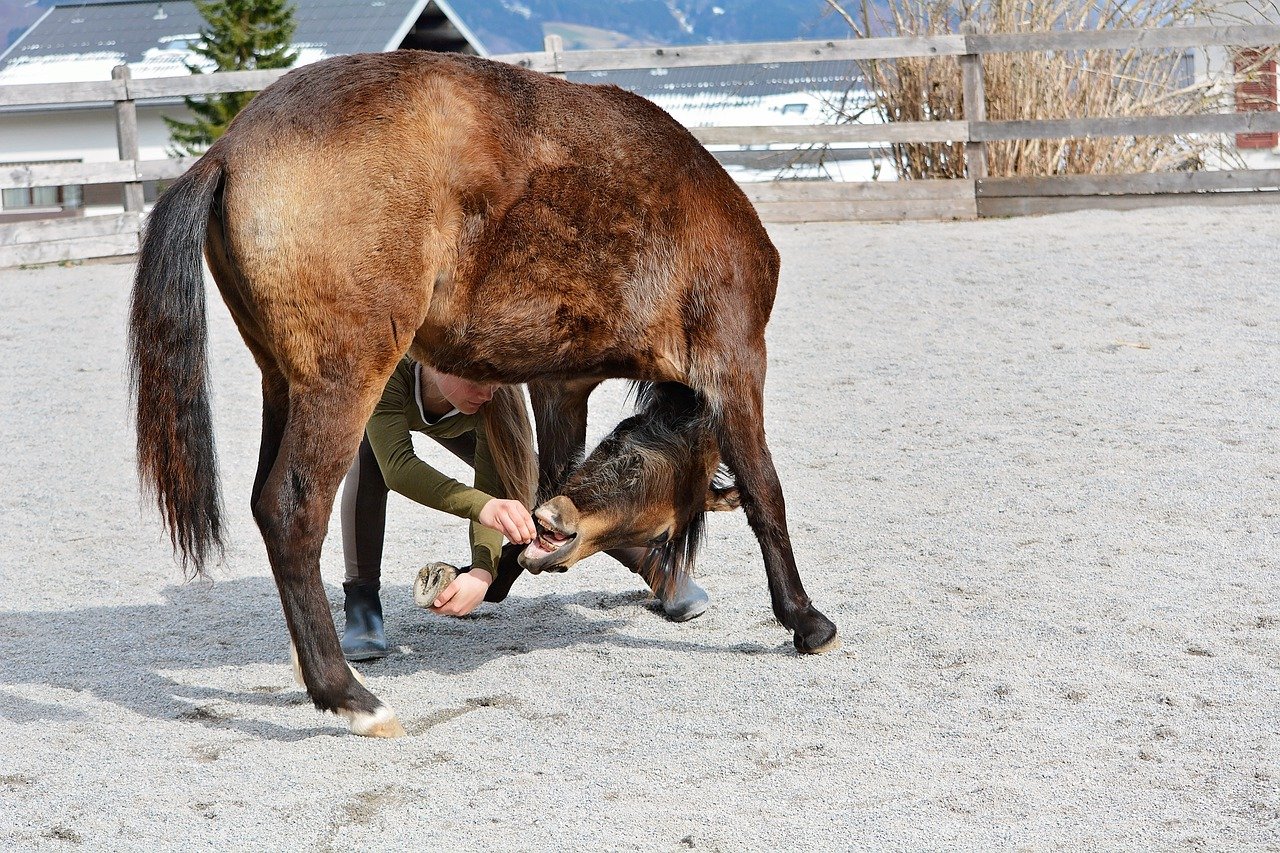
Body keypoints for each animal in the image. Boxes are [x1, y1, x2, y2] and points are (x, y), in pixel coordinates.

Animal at [128, 49, 840, 738]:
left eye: (630, 458)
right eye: (659, 511)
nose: (562, 525)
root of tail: (230, 149)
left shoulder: (562, 384)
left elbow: (555, 473)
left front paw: (525, 563)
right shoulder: (735, 364)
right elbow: (764, 493)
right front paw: (805, 620)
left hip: (283, 383)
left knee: (265, 500)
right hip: (344, 383)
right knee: (291, 511)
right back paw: (348, 696)